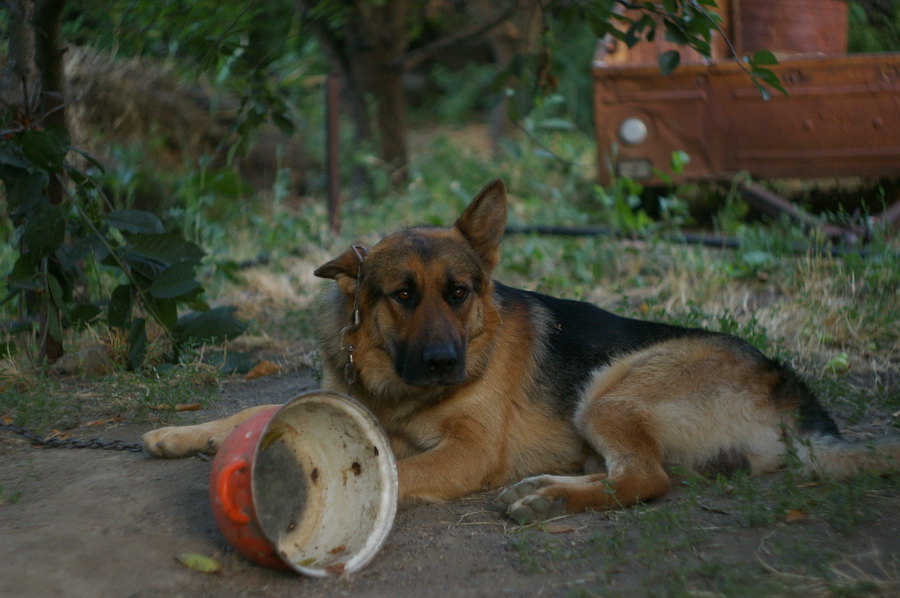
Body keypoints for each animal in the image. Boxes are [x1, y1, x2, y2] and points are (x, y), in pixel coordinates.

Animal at [144, 180, 896, 524]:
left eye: (459, 293)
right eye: (401, 296)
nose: (444, 362)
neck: (395, 384)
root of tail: (786, 383)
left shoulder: (469, 451)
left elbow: (398, 469)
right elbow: (256, 411)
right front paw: (178, 433)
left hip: (611, 387)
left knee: (647, 479)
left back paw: (545, 499)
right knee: (629, 473)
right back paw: (549, 486)